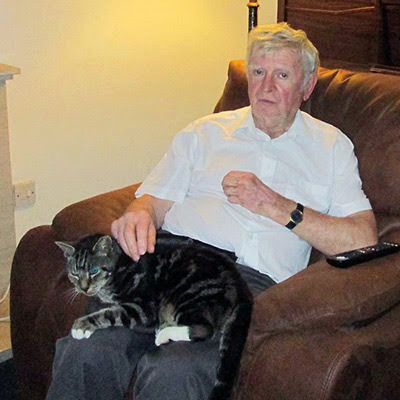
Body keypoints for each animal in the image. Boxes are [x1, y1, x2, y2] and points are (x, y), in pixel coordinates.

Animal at [55, 230, 253, 400]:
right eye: (74, 273)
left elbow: (111, 313)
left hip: (188, 293)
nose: (83, 288)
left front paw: (82, 325)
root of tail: (240, 285)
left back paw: (164, 334)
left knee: (204, 329)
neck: (120, 264)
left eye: (94, 271)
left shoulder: (144, 308)